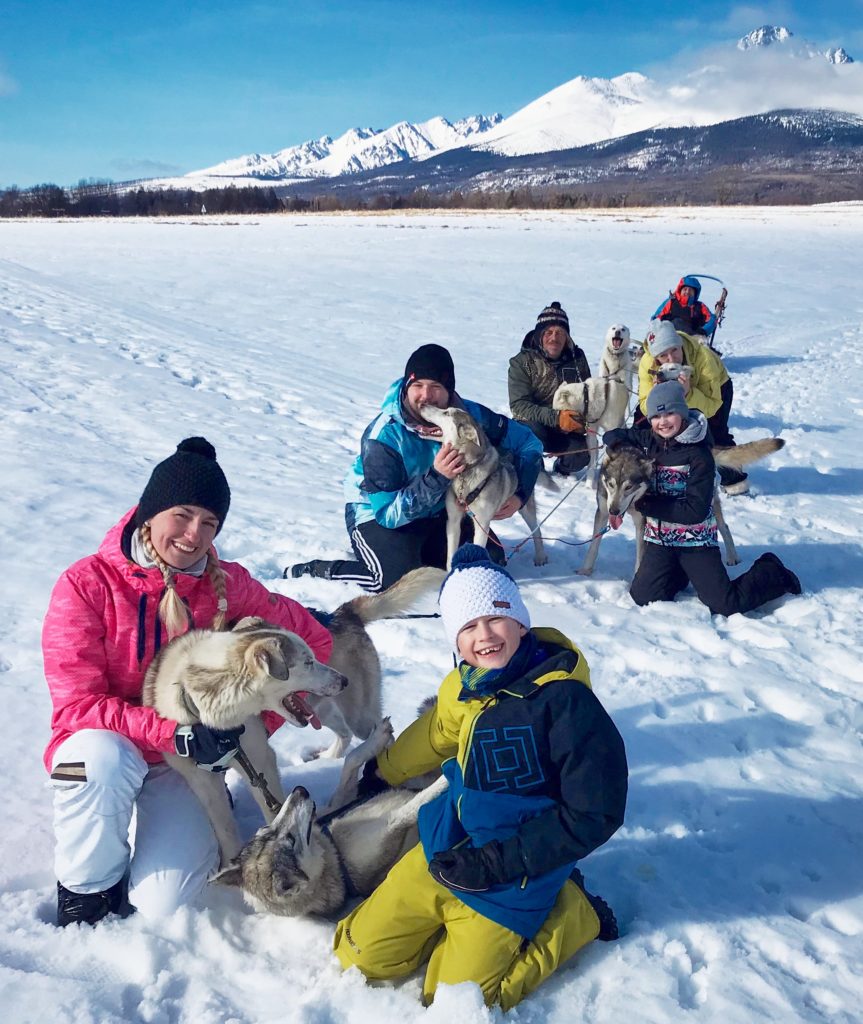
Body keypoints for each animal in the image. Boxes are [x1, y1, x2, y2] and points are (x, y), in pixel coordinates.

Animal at [142, 569, 446, 864]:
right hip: (321, 708)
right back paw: (329, 757)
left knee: (377, 737)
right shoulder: (201, 780)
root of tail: (341, 613)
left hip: (357, 713)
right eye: (308, 662)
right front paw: (229, 863)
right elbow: (223, 827)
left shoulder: (259, 760)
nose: (343, 680)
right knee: (344, 734)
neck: (214, 723)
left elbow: (274, 809)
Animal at [212, 716, 448, 917]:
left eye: (266, 829)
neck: (333, 848)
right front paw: (444, 781)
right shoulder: (390, 829)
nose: (299, 790)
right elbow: (411, 809)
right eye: (291, 840)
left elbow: (350, 762)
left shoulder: (340, 801)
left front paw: (376, 739)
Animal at [421, 401, 548, 569]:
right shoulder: (453, 520)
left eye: (447, 413)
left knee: (537, 531)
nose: (423, 404)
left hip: (525, 509)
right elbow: (450, 556)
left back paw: (540, 557)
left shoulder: (482, 524)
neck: (465, 472)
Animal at [577, 440, 786, 581]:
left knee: (724, 526)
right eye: (611, 484)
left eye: (629, 487)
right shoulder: (602, 512)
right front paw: (585, 570)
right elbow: (593, 546)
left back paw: (733, 557)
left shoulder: (641, 522)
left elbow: (640, 556)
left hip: (711, 505)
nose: (614, 510)